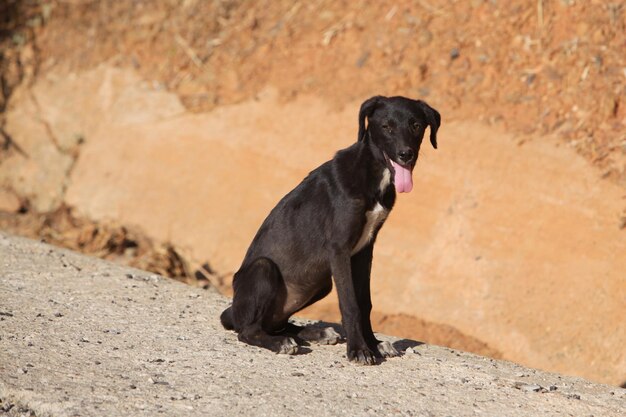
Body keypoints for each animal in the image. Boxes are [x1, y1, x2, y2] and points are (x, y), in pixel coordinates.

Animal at [221, 95, 438, 364]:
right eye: (386, 126)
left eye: (416, 125)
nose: (405, 155)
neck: (372, 173)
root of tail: (233, 311)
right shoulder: (339, 249)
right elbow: (350, 303)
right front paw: (359, 349)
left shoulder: (364, 250)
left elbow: (365, 302)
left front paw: (375, 345)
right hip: (264, 269)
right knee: (248, 330)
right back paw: (280, 342)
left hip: (320, 283)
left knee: (277, 323)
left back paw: (314, 333)